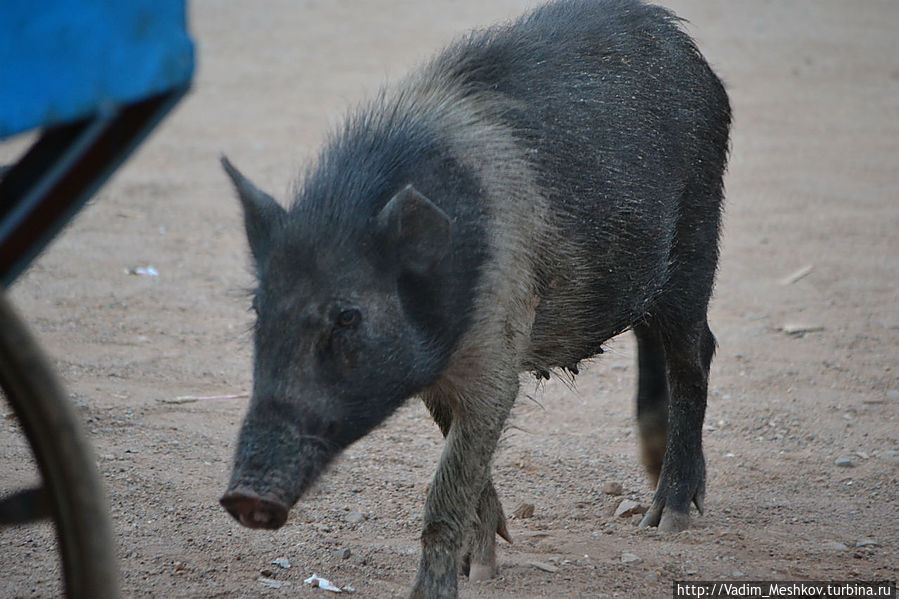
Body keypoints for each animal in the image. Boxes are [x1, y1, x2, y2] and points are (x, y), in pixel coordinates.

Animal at [220, 1, 732, 596]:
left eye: (348, 316)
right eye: (258, 310)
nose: (243, 497)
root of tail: (682, 43)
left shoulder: (498, 349)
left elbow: (447, 490)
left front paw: (452, 583)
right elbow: (465, 461)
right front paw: (482, 563)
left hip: (699, 229)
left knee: (695, 354)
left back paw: (666, 518)